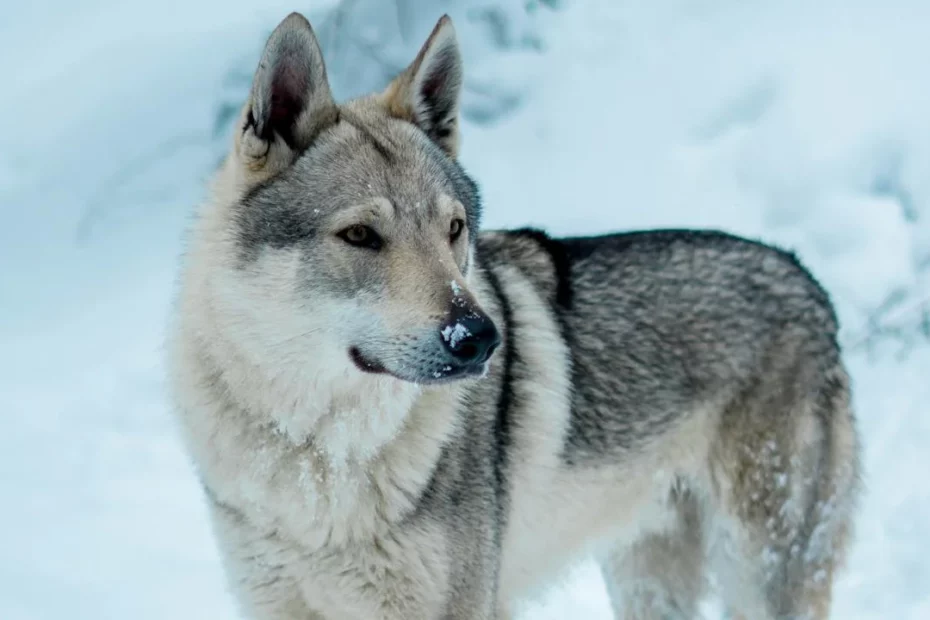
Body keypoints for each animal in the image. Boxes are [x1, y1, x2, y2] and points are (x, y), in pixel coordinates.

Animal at [167, 11, 862, 620]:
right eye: (360, 235)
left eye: (453, 229)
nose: (480, 339)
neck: (317, 453)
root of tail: (809, 282)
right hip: (648, 577)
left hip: (759, 572)